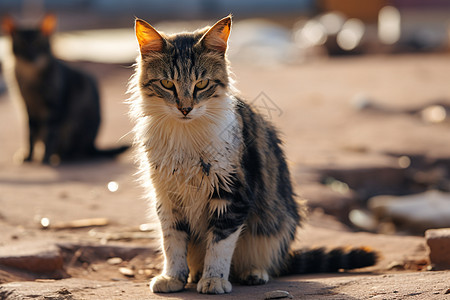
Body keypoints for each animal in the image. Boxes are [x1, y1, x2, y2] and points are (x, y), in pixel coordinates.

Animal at [1, 14, 128, 164]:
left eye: (37, 44)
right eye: (22, 45)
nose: (31, 56)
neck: (30, 78)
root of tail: (93, 145)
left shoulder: (54, 109)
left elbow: (49, 135)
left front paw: (44, 158)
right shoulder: (28, 108)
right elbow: (30, 135)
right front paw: (29, 155)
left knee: (73, 152)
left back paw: (59, 156)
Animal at [128, 15, 378, 294]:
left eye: (201, 84)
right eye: (167, 84)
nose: (185, 109)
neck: (185, 134)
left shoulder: (232, 193)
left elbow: (219, 244)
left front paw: (214, 280)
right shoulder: (168, 196)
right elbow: (173, 241)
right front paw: (173, 277)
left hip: (273, 228)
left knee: (263, 262)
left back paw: (252, 273)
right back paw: (195, 275)